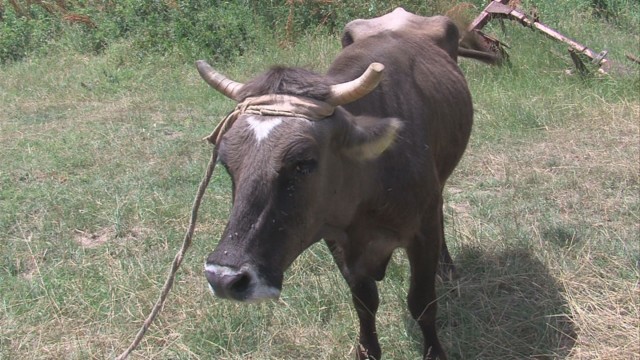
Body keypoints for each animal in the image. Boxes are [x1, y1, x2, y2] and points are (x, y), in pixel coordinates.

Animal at [200, 8, 476, 360]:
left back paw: (448, 268)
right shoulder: (335, 237)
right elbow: (364, 301)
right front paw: (367, 350)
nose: (224, 278)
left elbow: (422, 302)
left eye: (304, 162)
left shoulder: (422, 233)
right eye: (225, 161)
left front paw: (434, 352)